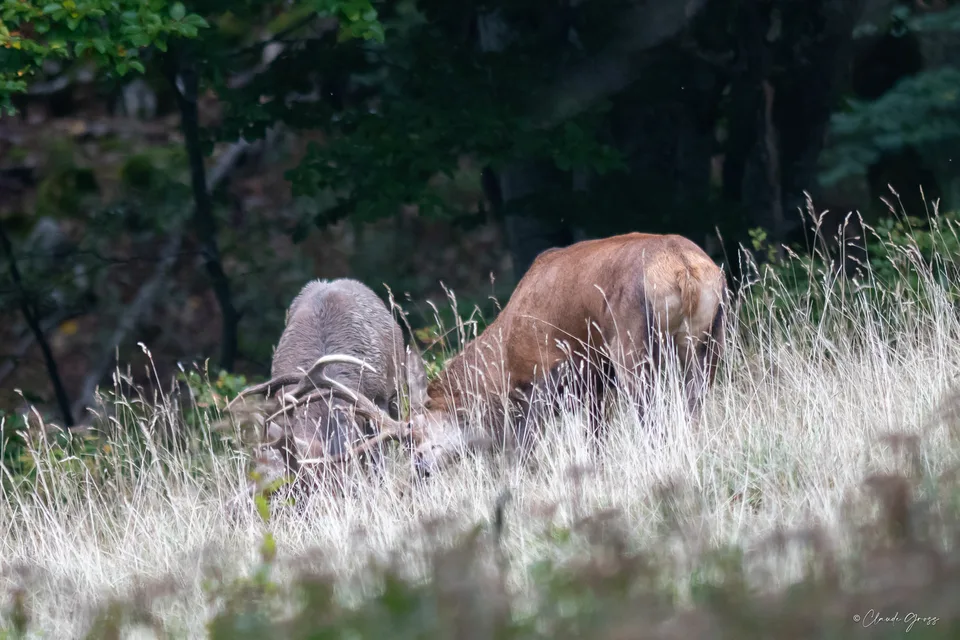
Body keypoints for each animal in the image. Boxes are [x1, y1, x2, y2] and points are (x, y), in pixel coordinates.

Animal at [288, 232, 727, 480]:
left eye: (419, 435)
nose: (419, 468)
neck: (501, 358)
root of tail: (685, 271)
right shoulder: (594, 382)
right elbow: (595, 438)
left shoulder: (546, 376)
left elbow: (526, 448)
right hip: (711, 339)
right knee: (696, 403)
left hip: (631, 345)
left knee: (653, 416)